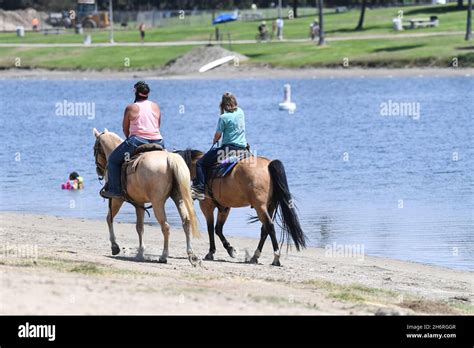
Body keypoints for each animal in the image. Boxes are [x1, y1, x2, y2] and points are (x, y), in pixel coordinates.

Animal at [92, 129, 200, 266]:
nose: (98, 171)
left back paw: (164, 256)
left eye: (95, 148)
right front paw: (140, 252)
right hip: (178, 198)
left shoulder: (116, 199)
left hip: (157, 203)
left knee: (165, 226)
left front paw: (115, 246)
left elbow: (109, 219)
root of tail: (169, 158)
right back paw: (191, 254)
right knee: (186, 221)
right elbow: (140, 227)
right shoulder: (140, 203)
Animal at [176, 148, 306, 266]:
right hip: (270, 206)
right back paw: (255, 256)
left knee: (270, 226)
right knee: (265, 229)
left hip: (260, 207)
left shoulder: (207, 206)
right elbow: (218, 229)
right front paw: (230, 249)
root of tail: (269, 164)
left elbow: (211, 229)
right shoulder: (224, 208)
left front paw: (212, 252)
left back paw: (276, 257)